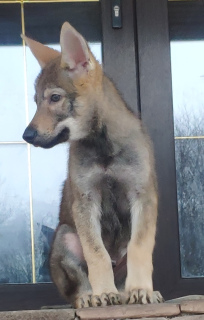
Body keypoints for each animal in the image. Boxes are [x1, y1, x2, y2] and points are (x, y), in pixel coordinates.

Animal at [22, 21, 163, 308]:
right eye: (36, 101)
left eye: (55, 98)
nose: (26, 135)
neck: (103, 147)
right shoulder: (85, 200)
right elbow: (96, 254)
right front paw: (103, 293)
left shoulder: (143, 195)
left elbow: (139, 248)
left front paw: (141, 289)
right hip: (65, 235)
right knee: (78, 286)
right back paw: (90, 297)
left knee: (124, 279)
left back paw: (129, 293)